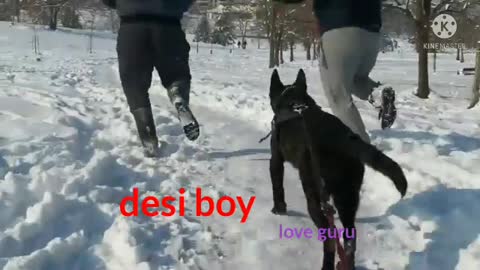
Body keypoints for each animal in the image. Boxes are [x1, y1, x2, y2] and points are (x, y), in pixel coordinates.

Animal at [268, 69, 406, 270]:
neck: (294, 102)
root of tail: (346, 141)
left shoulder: (276, 159)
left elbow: (277, 187)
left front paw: (279, 209)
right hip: (347, 196)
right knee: (350, 238)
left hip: (315, 194)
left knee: (330, 238)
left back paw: (327, 265)